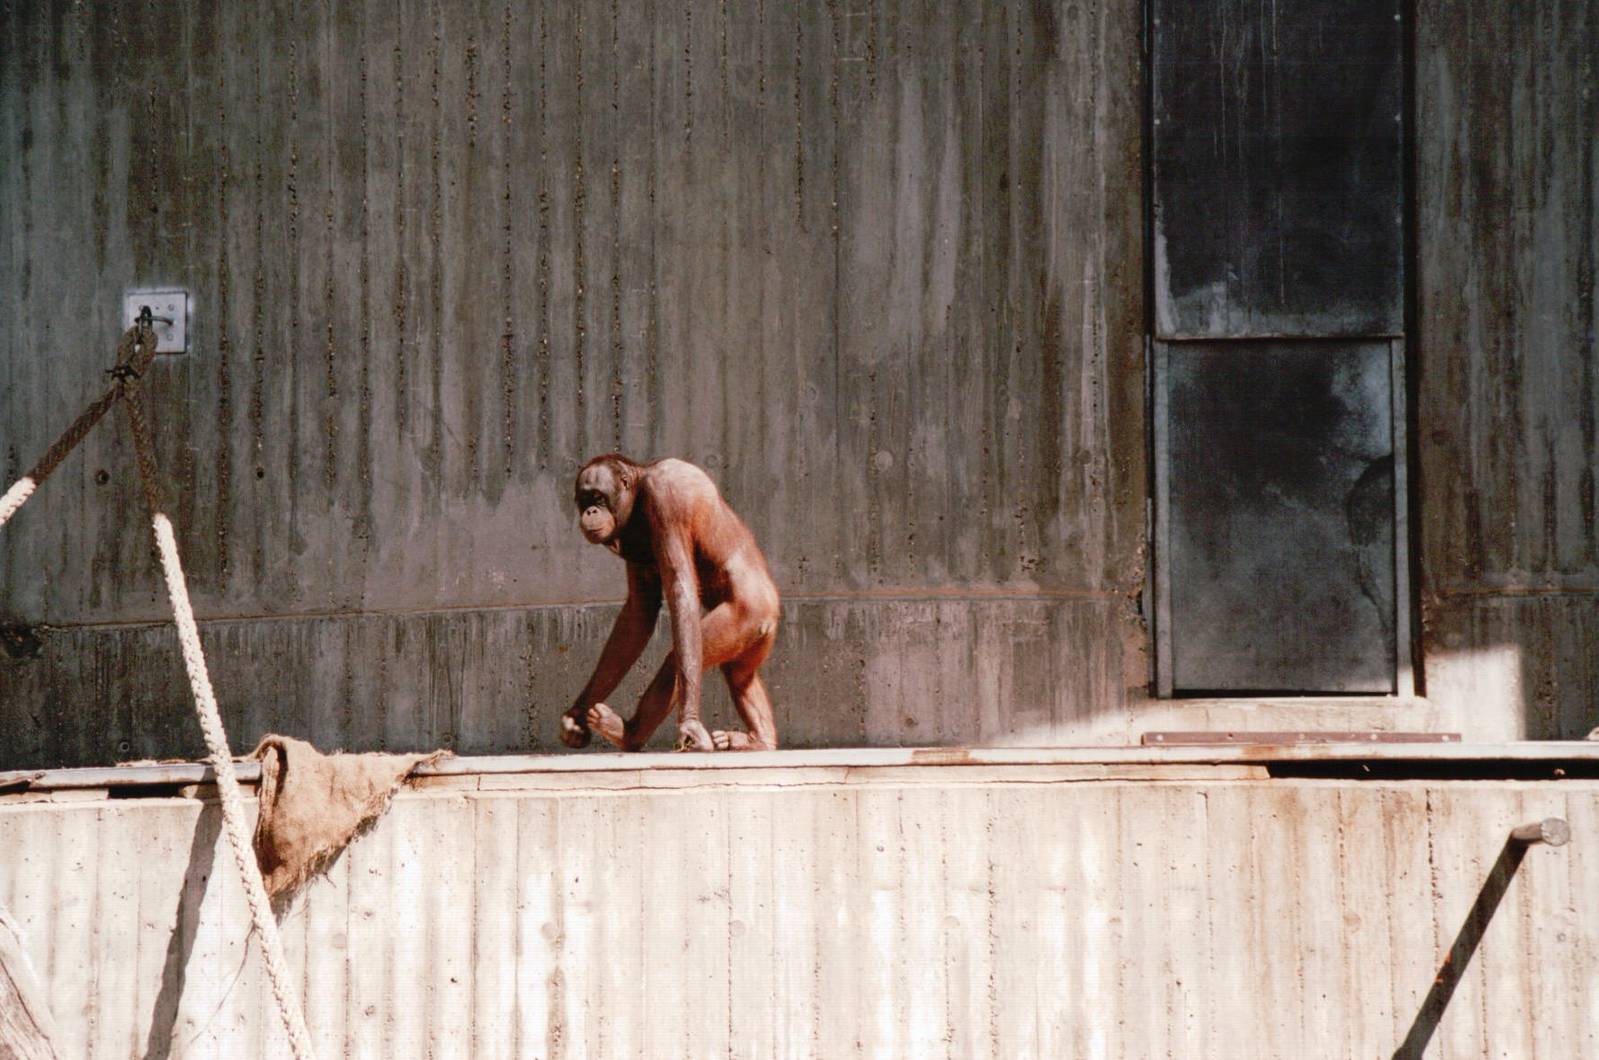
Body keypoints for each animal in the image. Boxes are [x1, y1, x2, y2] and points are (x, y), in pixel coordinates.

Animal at [560, 454, 781, 752]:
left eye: (599, 497)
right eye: (584, 499)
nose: (591, 511)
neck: (640, 490)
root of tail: (773, 609)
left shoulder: (665, 496)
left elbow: (681, 589)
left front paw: (690, 725)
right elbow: (638, 613)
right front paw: (576, 716)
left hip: (746, 615)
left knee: (675, 660)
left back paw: (628, 733)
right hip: (755, 636)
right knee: (739, 674)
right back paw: (759, 740)